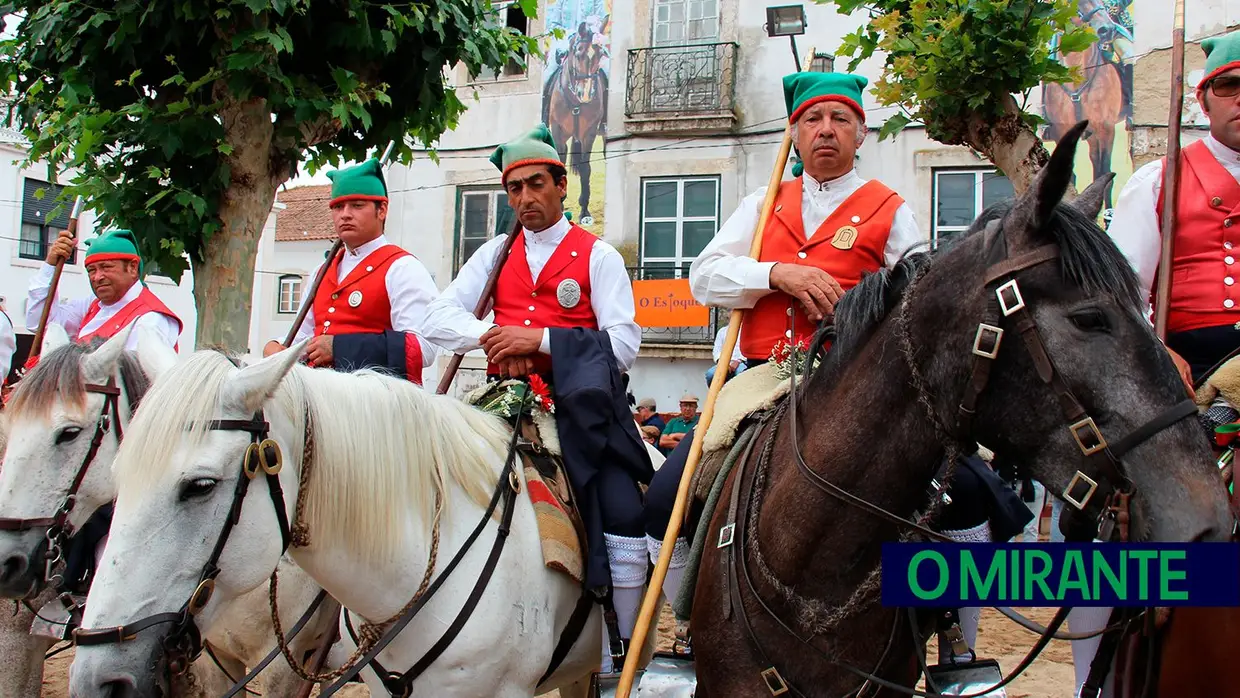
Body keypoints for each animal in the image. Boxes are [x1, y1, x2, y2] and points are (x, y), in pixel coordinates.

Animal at [540, 21, 607, 226]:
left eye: (600, 54)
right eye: (577, 52)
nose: (584, 94)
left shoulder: (589, 132)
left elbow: (585, 168)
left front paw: (584, 211)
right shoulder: (558, 130)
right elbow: (559, 163)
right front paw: (560, 207)